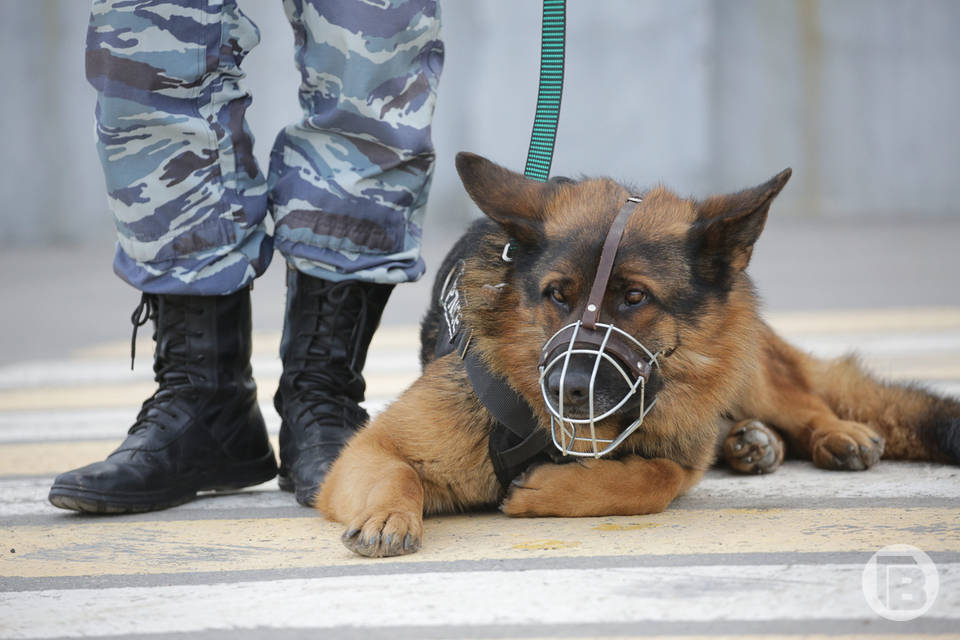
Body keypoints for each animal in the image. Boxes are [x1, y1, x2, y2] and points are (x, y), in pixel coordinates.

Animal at [318, 152, 960, 556]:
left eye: (634, 297)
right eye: (558, 295)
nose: (568, 388)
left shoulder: (674, 455)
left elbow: (657, 477)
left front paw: (550, 491)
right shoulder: (367, 451)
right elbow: (396, 473)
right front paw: (387, 515)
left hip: (743, 359)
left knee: (800, 398)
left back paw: (830, 433)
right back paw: (751, 442)